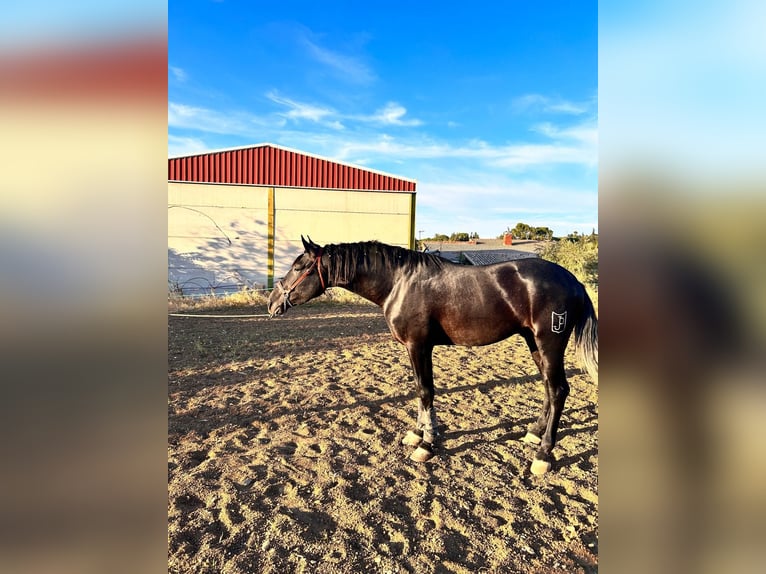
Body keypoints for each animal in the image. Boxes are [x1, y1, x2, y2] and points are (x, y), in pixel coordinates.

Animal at [270, 236, 600, 474]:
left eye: (299, 267)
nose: (273, 302)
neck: (399, 282)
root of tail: (574, 281)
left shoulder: (418, 346)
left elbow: (425, 391)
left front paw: (427, 444)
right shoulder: (415, 348)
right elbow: (420, 390)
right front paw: (419, 433)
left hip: (549, 343)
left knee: (558, 390)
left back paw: (543, 454)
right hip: (534, 343)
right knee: (547, 387)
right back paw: (533, 432)